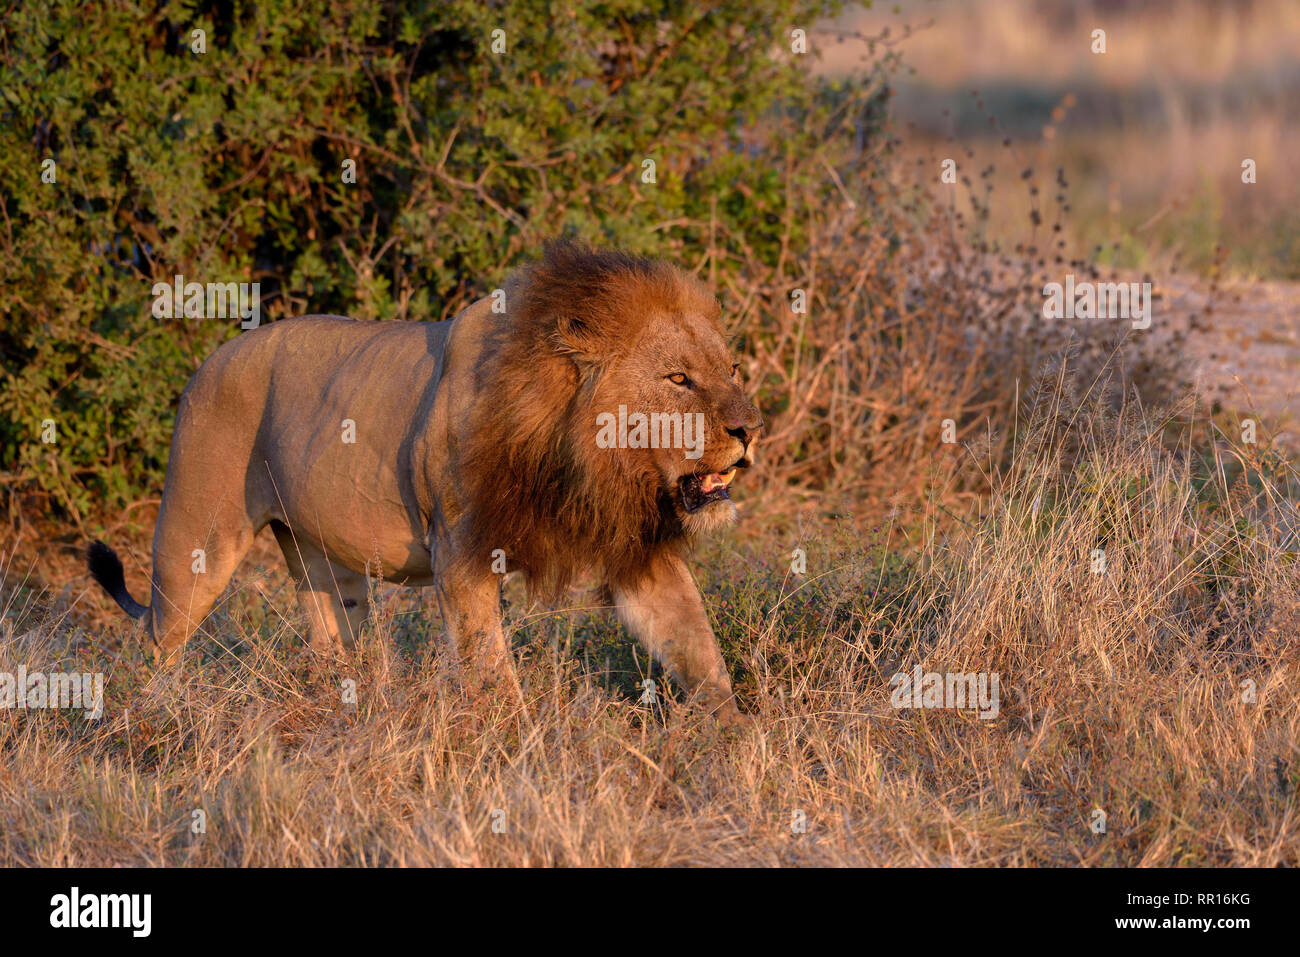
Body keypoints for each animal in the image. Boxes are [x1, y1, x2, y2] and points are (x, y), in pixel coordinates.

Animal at [89, 243, 759, 722]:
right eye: (677, 379)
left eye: (731, 369)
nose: (751, 429)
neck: (588, 464)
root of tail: (209, 361)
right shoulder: (460, 551)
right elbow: (490, 668)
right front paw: (518, 751)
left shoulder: (639, 551)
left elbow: (697, 646)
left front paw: (735, 741)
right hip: (194, 541)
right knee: (158, 641)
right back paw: (156, 718)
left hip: (323, 566)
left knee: (331, 642)